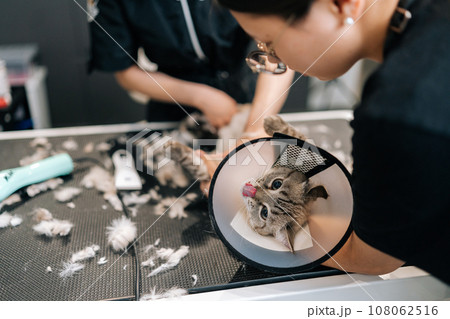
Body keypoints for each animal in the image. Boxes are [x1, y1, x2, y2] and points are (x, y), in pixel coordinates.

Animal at [167, 115, 328, 252]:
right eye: (277, 184)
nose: (252, 191)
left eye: (264, 213)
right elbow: (298, 138)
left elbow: (196, 166)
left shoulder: (209, 174)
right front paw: (272, 122)